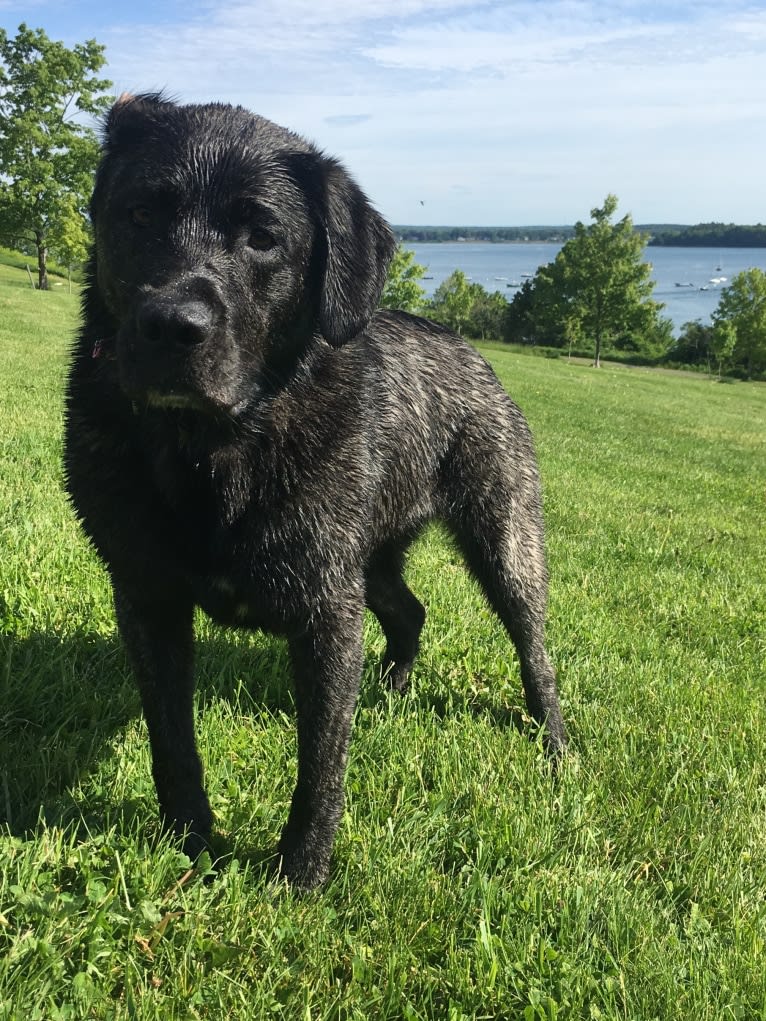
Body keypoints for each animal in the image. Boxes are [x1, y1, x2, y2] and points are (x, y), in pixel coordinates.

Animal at [63, 97, 567, 894]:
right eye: (140, 212)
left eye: (263, 236)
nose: (172, 324)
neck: (213, 452)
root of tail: (472, 351)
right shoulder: (147, 594)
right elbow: (171, 738)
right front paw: (188, 841)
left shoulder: (326, 611)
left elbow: (322, 761)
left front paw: (300, 875)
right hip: (370, 559)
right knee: (410, 611)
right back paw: (392, 689)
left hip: (503, 544)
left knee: (534, 649)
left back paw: (554, 743)